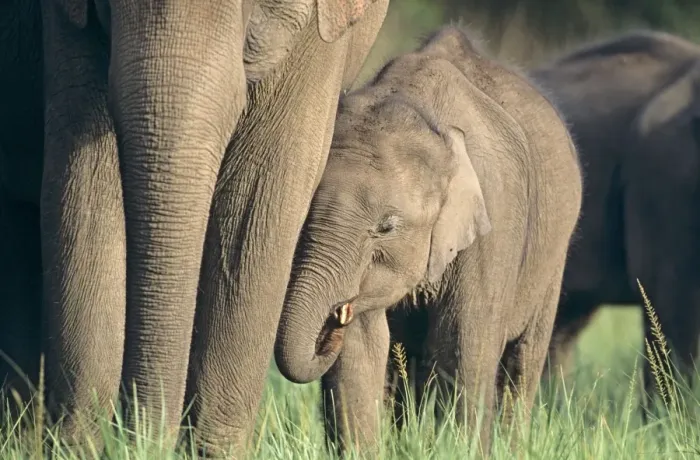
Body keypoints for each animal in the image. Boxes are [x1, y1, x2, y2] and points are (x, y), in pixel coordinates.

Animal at [273, 25, 583, 453]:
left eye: (386, 227)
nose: (332, 319)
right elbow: (361, 349)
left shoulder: (495, 224)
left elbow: (463, 346)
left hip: (553, 255)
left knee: (522, 360)